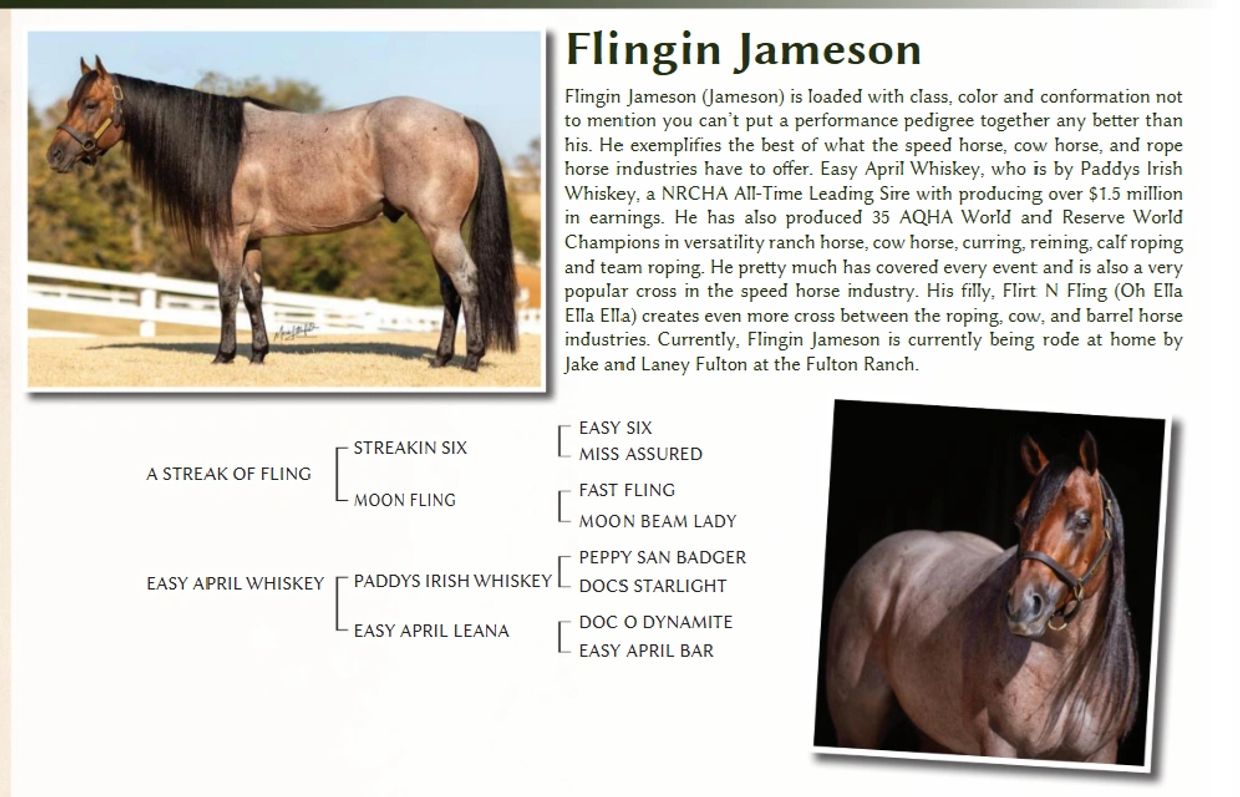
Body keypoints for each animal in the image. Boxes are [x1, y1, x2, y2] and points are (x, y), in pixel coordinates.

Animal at [45, 56, 517, 371]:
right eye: (73, 101)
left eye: (91, 104)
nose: (55, 155)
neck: (228, 147)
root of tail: (459, 119)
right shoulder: (251, 238)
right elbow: (254, 293)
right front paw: (258, 353)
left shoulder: (228, 235)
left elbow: (226, 293)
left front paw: (224, 355)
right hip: (437, 231)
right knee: (449, 290)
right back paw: (440, 358)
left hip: (440, 230)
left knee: (467, 282)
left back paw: (472, 359)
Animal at [825, 432, 1139, 763]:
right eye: (1020, 518)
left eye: (1082, 520)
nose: (1022, 607)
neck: (1066, 670)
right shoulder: (1000, 744)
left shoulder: (1103, 751)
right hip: (857, 731)